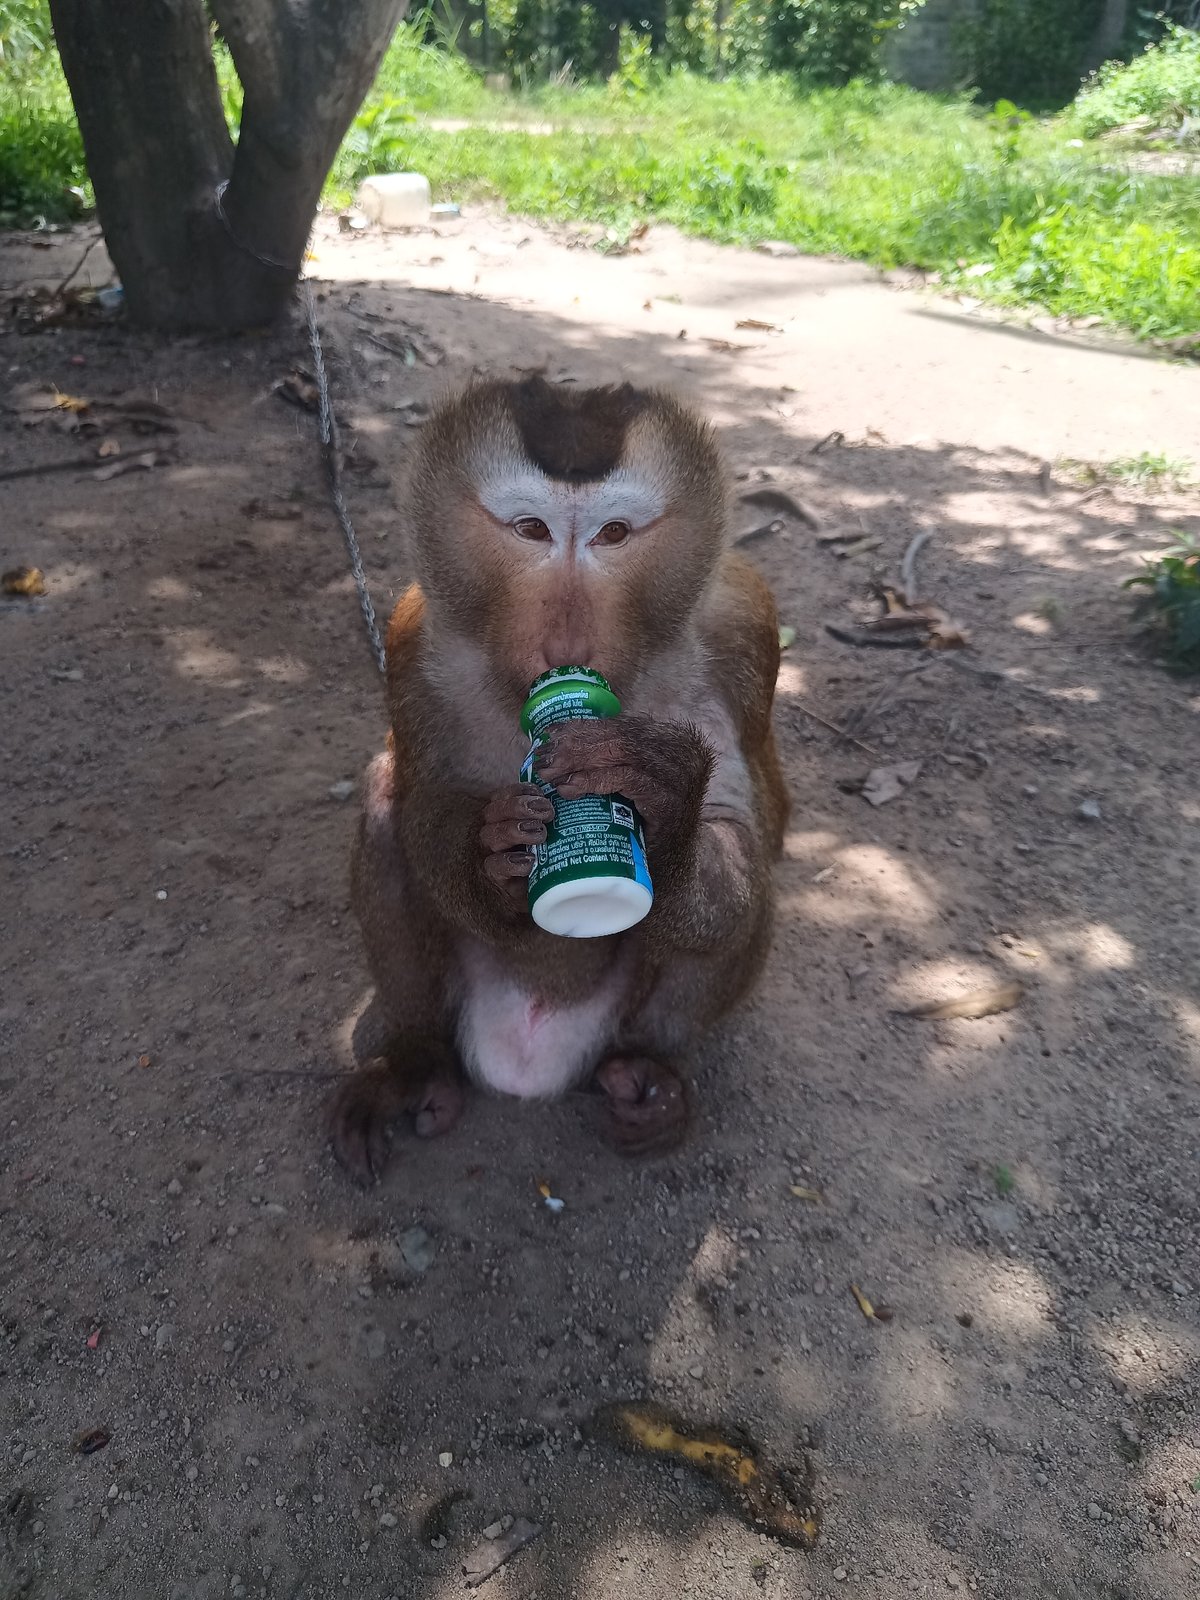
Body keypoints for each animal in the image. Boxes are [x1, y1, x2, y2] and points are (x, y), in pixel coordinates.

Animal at [328, 375, 789, 1184]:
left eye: (613, 535)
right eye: (532, 530)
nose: (568, 640)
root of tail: (528, 1057)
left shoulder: (744, 631)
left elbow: (741, 833)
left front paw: (661, 809)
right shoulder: (412, 634)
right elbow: (422, 804)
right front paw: (497, 853)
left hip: (616, 1022)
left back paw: (652, 1080)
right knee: (384, 801)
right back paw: (417, 1064)